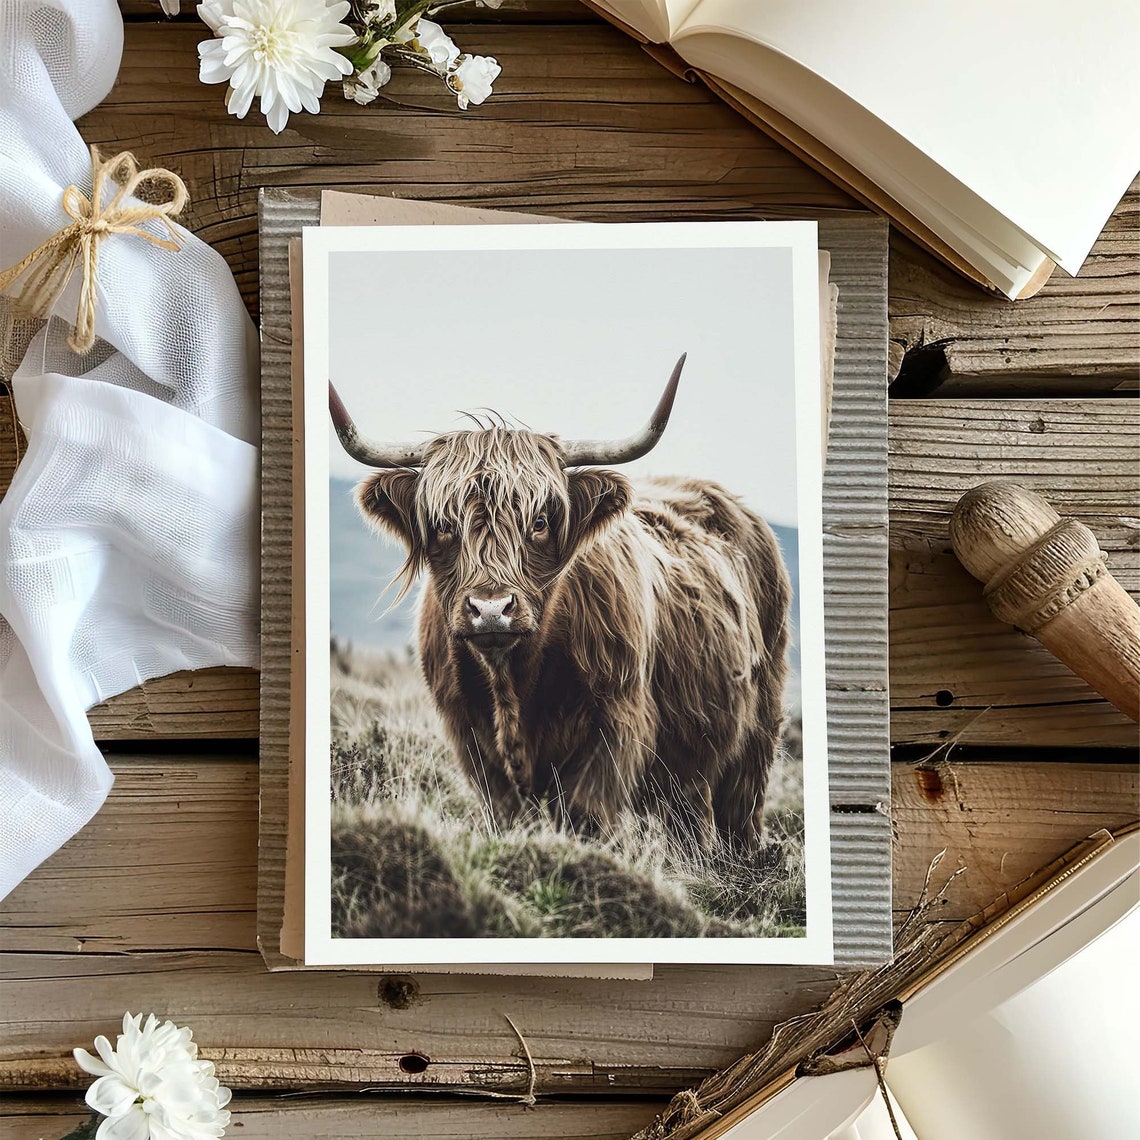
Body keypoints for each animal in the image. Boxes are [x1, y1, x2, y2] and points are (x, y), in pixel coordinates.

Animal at [329, 356, 791, 851]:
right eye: (443, 525)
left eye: (540, 521)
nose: (490, 609)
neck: (512, 683)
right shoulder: (471, 741)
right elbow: (507, 815)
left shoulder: (615, 728)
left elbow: (584, 815)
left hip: (756, 733)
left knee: (735, 814)